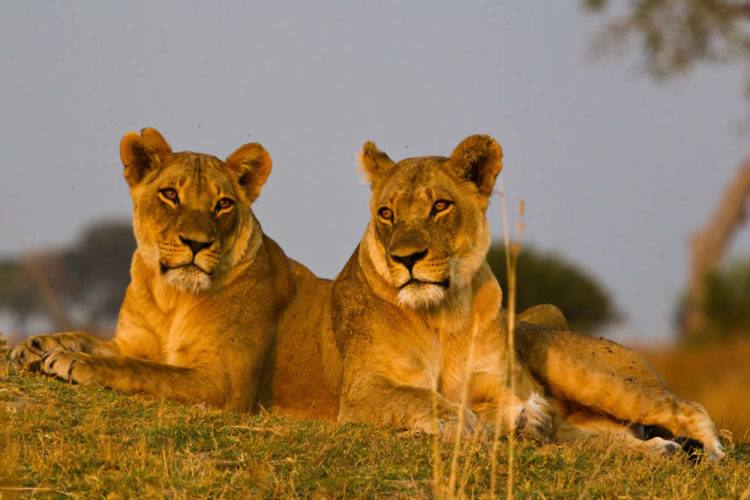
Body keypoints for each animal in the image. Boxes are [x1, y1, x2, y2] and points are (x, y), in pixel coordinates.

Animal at [8, 128, 298, 410]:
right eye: (170, 194)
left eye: (223, 204)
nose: (196, 243)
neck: (171, 296)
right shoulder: (130, 342)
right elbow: (87, 339)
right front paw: (36, 345)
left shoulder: (224, 383)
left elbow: (146, 369)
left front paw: (74, 360)